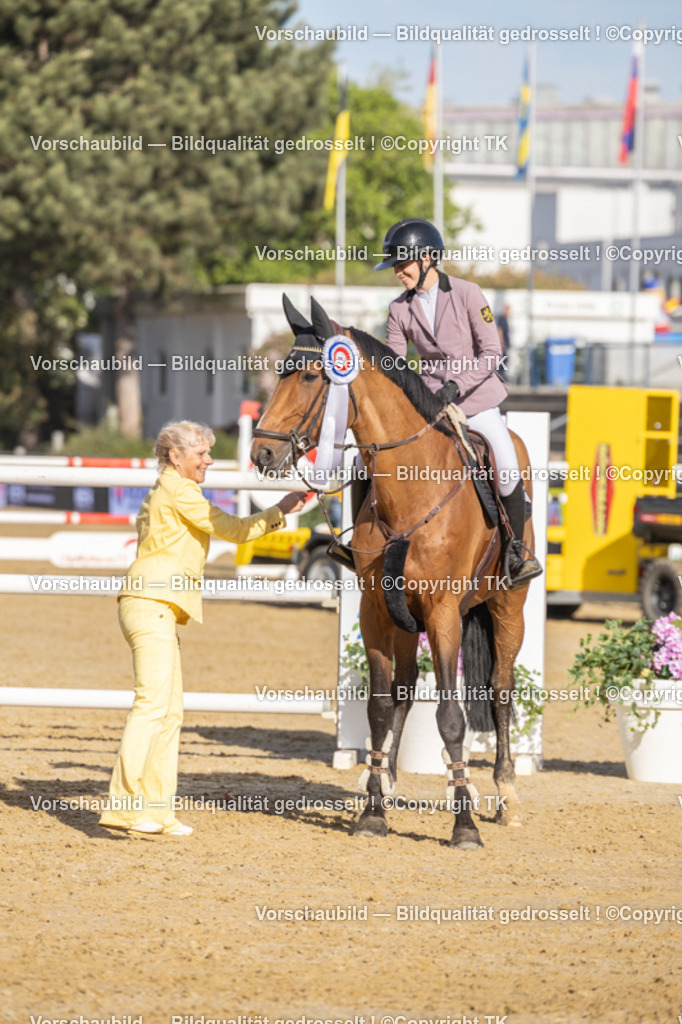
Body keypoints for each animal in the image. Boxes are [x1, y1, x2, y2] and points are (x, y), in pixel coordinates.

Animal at [251, 296, 536, 850]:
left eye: (313, 376)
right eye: (281, 373)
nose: (263, 453)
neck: (412, 490)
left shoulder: (444, 613)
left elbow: (452, 717)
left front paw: (464, 825)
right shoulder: (376, 611)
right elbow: (381, 708)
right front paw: (373, 811)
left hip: (505, 606)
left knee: (499, 689)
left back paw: (508, 796)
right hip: (407, 619)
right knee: (405, 689)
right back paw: (386, 780)